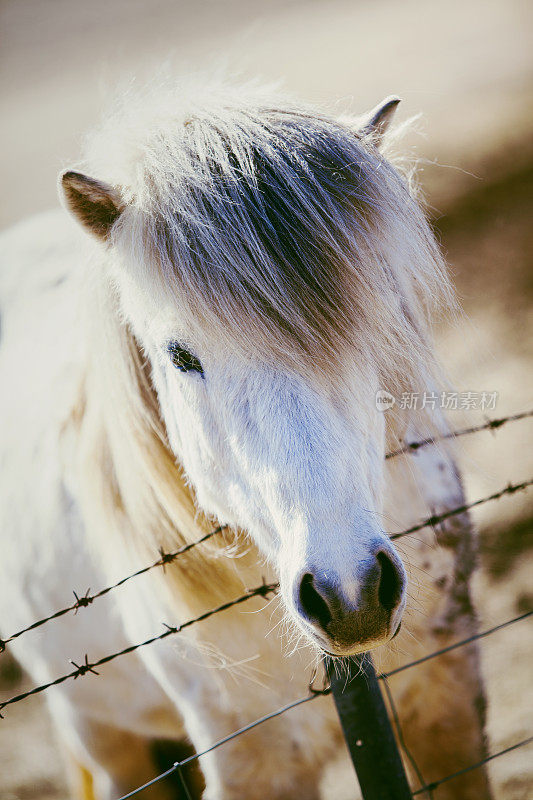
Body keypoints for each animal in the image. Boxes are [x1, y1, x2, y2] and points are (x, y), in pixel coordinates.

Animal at [1, 83, 490, 800]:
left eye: (371, 324)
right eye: (179, 357)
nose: (351, 595)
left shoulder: (447, 698)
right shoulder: (251, 760)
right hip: (101, 733)